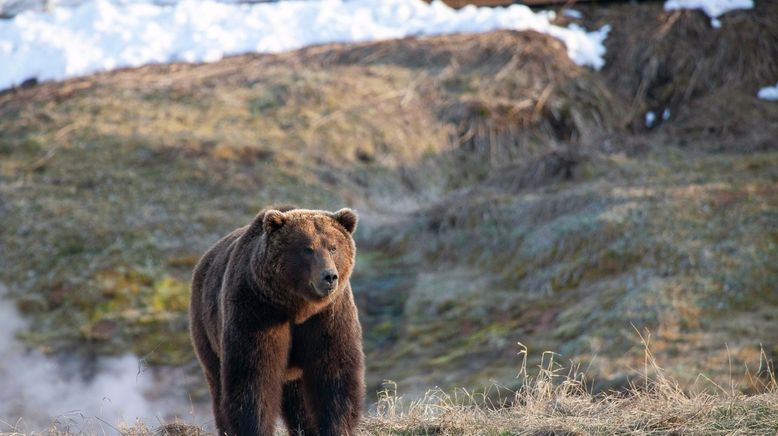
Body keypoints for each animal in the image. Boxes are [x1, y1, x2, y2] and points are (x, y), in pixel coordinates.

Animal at [191, 206, 366, 434]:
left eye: (333, 247)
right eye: (307, 249)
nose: (329, 276)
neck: (298, 307)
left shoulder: (328, 316)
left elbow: (335, 374)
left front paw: (337, 427)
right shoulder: (257, 312)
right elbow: (254, 377)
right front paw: (254, 427)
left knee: (298, 399)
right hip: (206, 328)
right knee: (218, 383)